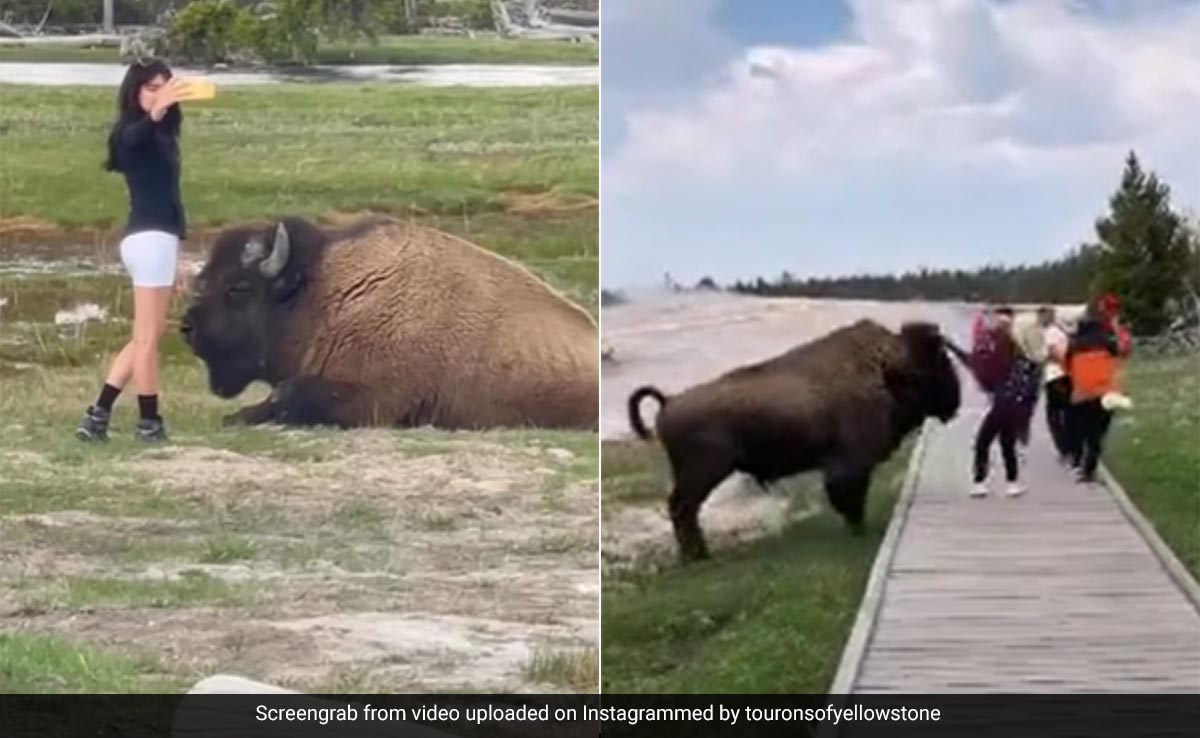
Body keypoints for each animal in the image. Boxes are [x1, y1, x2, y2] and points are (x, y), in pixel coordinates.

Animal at [627, 320, 961, 562]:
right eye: (939, 366)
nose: (954, 402)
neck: (886, 370)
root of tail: (670, 401)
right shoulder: (850, 466)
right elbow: (850, 499)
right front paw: (859, 530)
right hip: (704, 472)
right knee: (683, 508)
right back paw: (697, 557)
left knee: (683, 509)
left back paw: (698, 555)